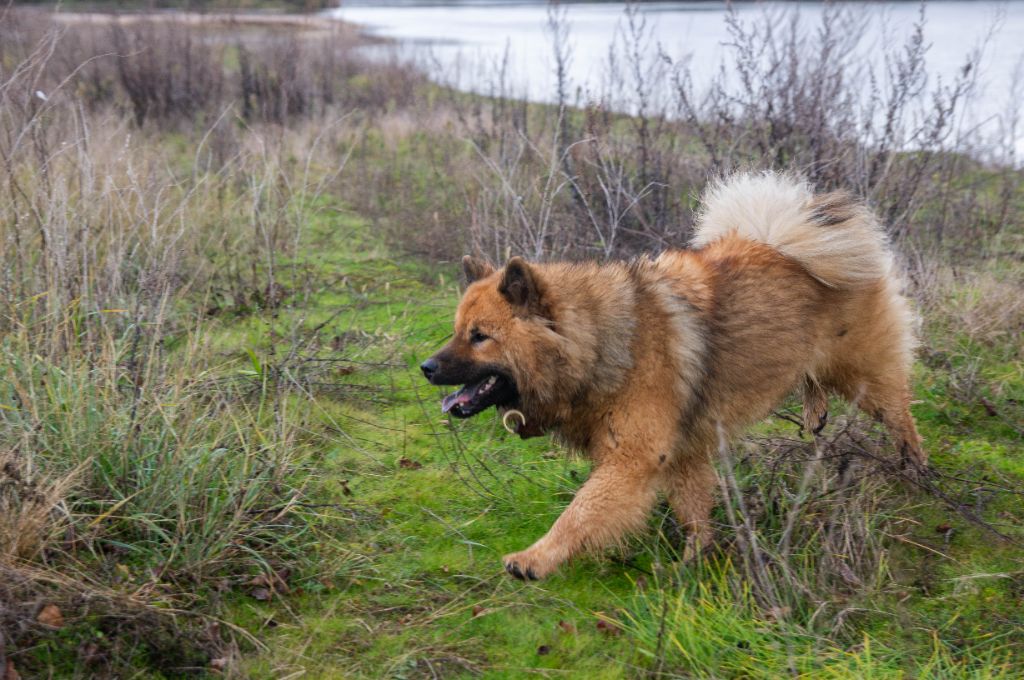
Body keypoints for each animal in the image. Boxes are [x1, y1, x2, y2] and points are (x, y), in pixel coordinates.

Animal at [419, 173, 925, 581]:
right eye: (457, 331)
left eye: (480, 337)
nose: (426, 368)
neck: (601, 342)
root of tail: (794, 243)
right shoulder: (683, 453)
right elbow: (694, 513)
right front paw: (693, 563)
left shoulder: (634, 458)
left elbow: (580, 513)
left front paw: (535, 558)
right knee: (814, 379)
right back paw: (815, 411)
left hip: (865, 376)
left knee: (900, 415)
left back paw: (916, 470)